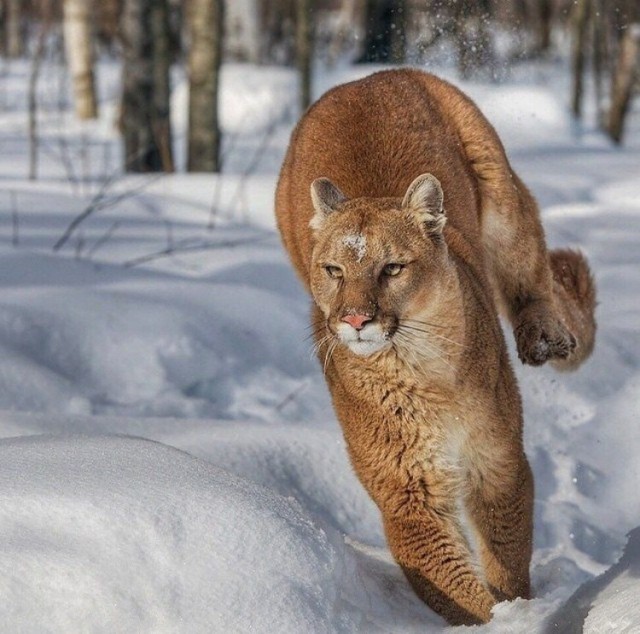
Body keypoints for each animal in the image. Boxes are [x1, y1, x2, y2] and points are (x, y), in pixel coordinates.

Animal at [274, 68, 596, 624]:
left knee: (530, 271)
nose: (355, 318)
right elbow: (455, 588)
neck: (419, 369)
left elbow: (506, 556)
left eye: (392, 268)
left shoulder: (497, 460)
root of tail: (366, 76)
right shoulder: (408, 493)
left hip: (502, 194)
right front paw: (502, 622)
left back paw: (544, 335)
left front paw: (519, 611)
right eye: (334, 270)